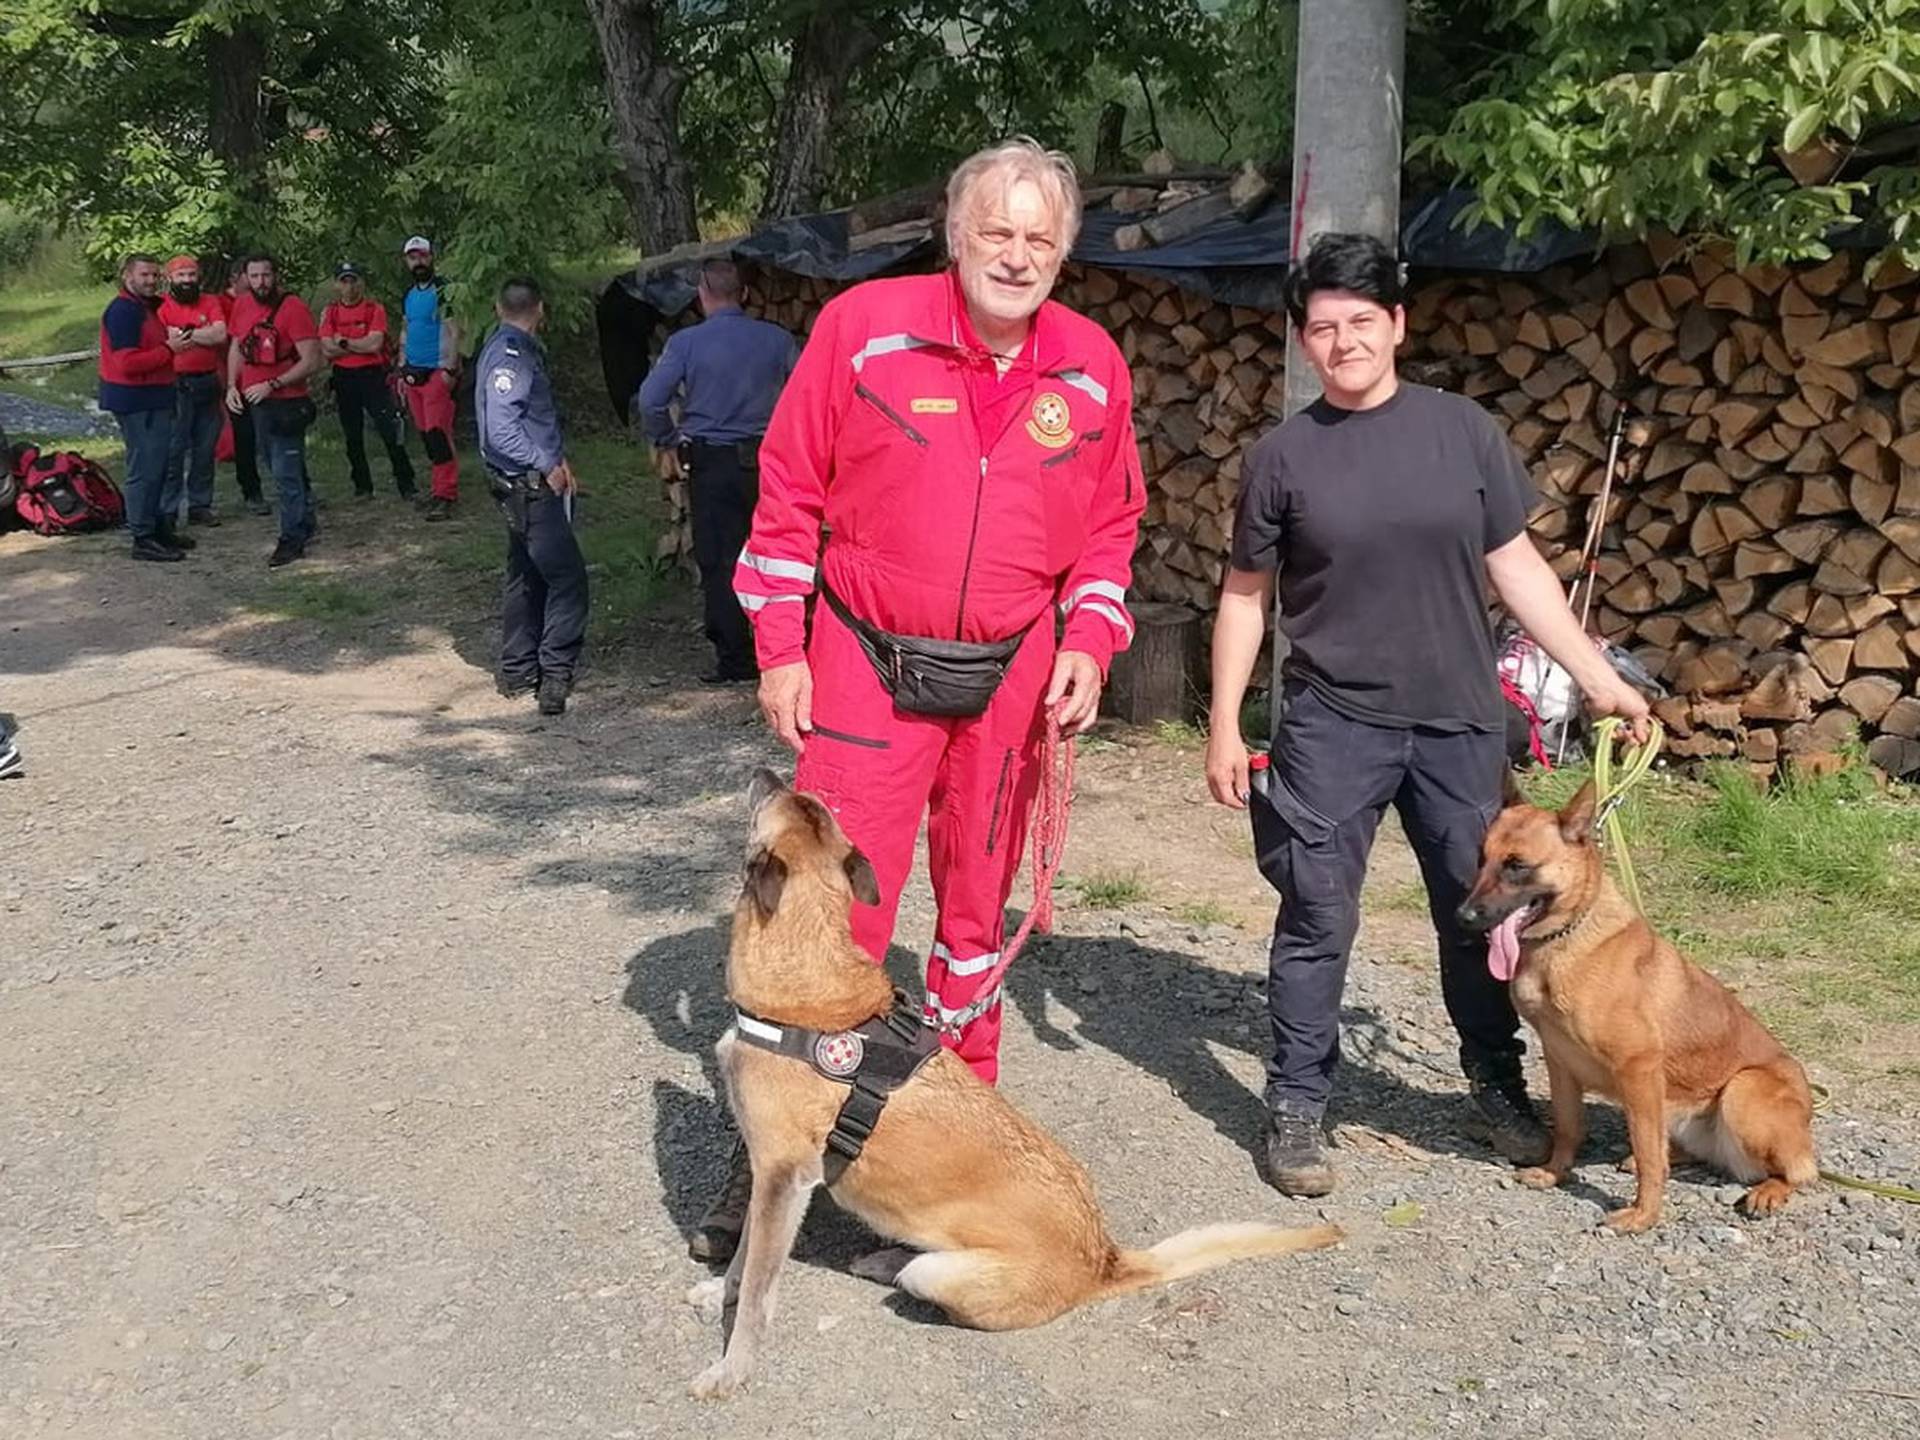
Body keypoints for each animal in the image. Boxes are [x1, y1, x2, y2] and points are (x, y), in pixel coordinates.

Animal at [683, 771, 1344, 1405]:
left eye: (783, 796)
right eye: (805, 802)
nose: (766, 768)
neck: (806, 973)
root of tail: (1104, 1260)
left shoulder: (784, 1178)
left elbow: (758, 1289)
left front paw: (732, 1368)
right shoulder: (769, 1179)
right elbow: (742, 1259)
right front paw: (720, 1293)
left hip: (942, 1276)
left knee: (928, 1282)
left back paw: (893, 1263)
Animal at [1451, 783, 1812, 1236]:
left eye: (1517, 866)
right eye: (1482, 859)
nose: (1462, 916)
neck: (1566, 938)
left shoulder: (1637, 1068)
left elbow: (1646, 1151)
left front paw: (1644, 1214)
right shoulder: (1560, 1062)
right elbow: (1568, 1127)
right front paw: (1555, 1173)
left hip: (1742, 1091)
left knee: (1798, 1171)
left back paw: (1770, 1190)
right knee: (1691, 1151)